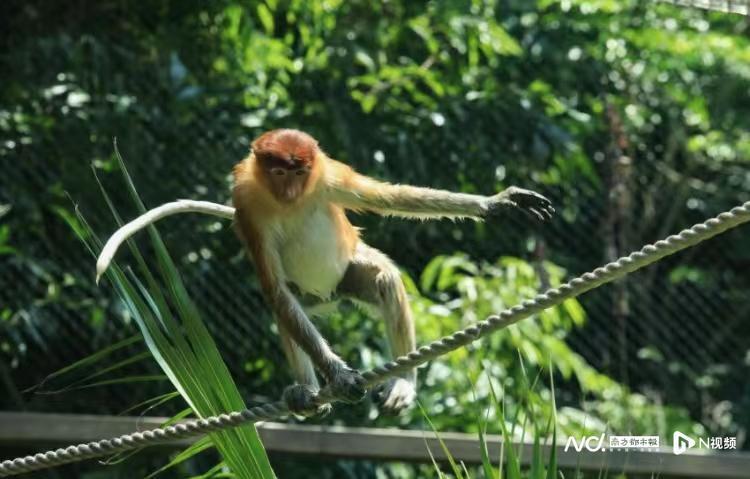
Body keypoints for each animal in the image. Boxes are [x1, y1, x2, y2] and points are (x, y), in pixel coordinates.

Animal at [232, 128, 556, 416]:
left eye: (300, 173)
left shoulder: (328, 174)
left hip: (349, 271)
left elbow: (385, 197)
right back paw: (306, 392)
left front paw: (496, 202)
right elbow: (274, 289)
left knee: (383, 279)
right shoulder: (246, 201)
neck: (290, 204)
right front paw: (340, 376)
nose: (289, 192)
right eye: (278, 172)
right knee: (286, 307)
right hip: (309, 294)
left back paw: (403, 382)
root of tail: (329, 296)